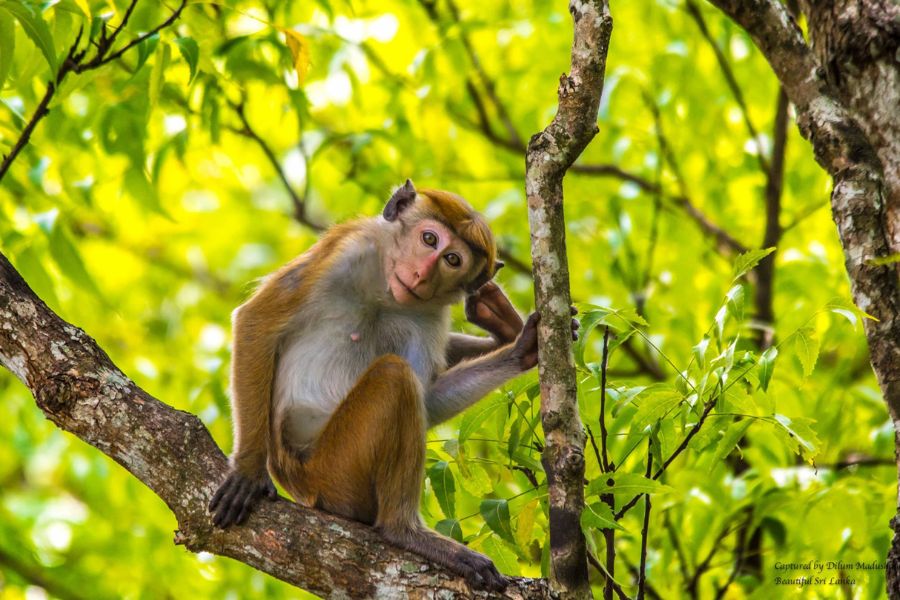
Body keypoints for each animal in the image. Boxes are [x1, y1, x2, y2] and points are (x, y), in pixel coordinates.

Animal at [208, 178, 580, 592]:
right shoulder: (347, 249)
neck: (385, 287)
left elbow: (428, 401)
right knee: (393, 376)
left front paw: (522, 350)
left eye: (453, 260)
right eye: (429, 239)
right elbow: (257, 322)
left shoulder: (430, 314)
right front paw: (247, 470)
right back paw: (401, 531)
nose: (420, 274)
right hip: (332, 473)